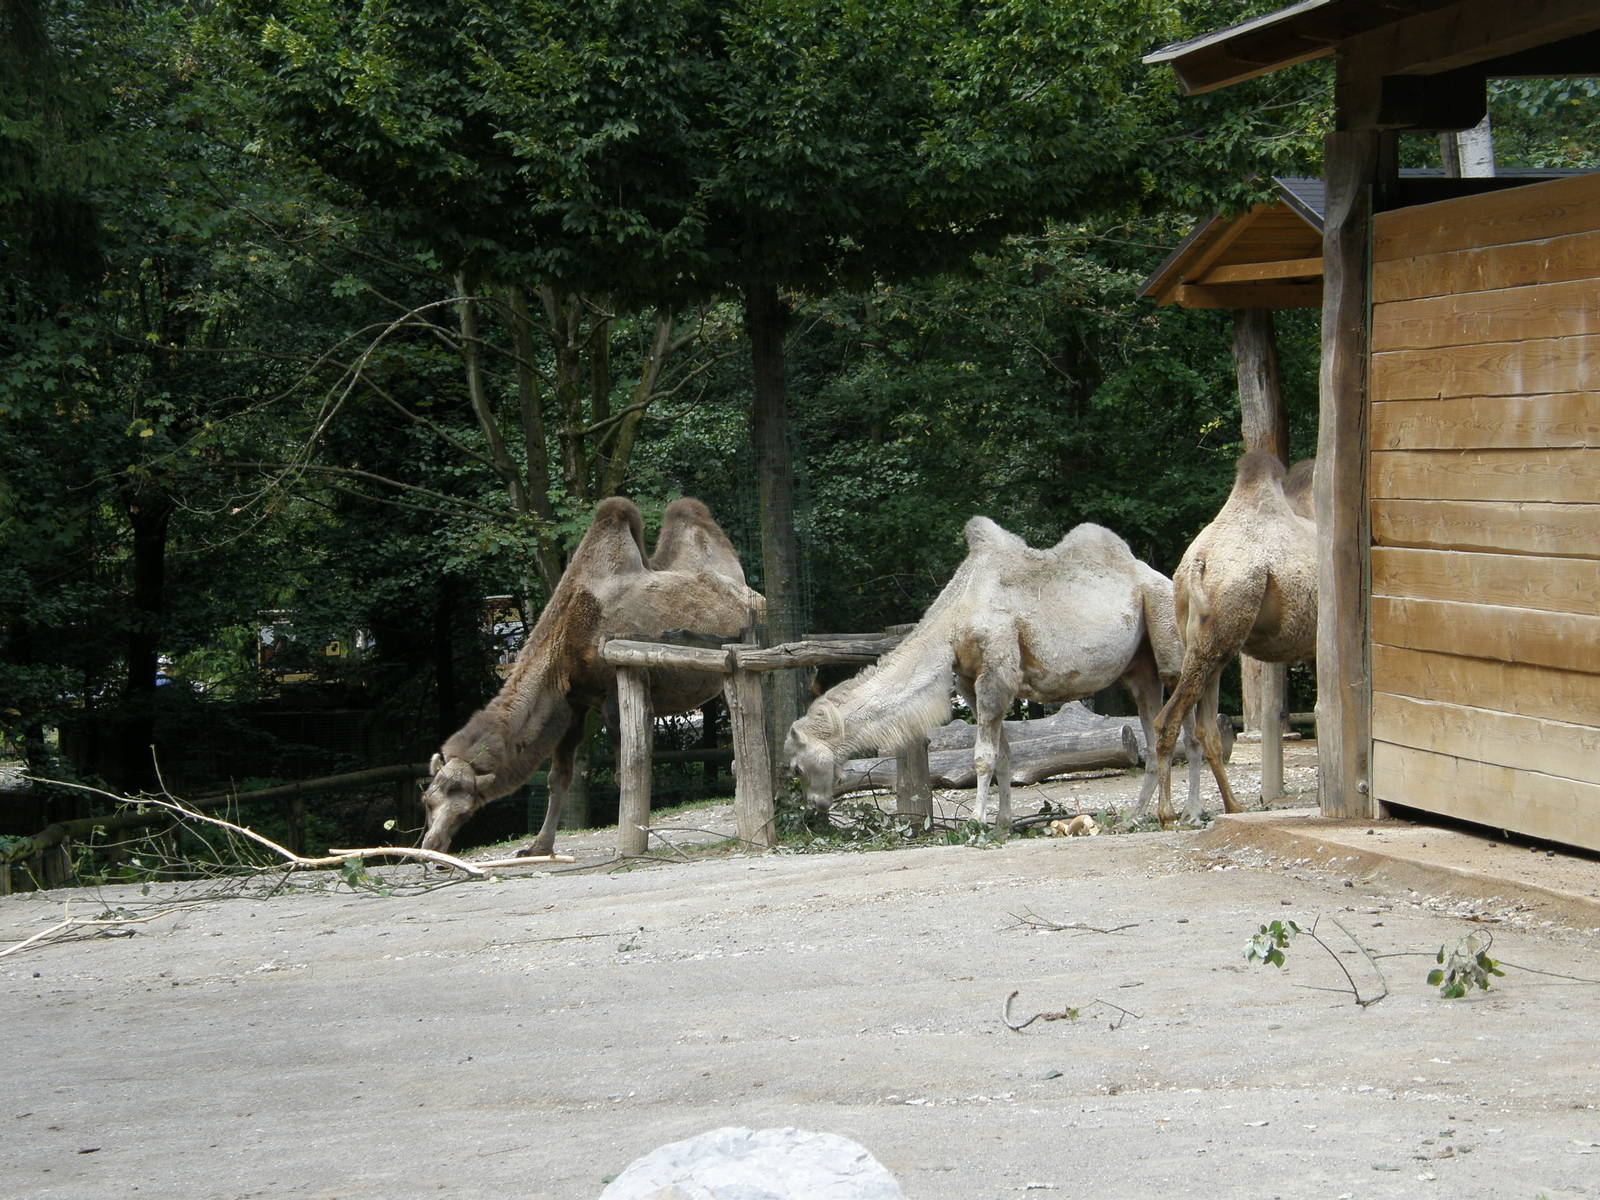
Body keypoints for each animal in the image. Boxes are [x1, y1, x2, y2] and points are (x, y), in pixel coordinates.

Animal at [420, 497, 762, 854]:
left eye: (464, 809)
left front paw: (632, 838)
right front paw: (538, 846)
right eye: (427, 802)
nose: (431, 844)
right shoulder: (572, 704)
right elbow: (558, 777)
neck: (568, 633)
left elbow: (625, 772)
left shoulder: (612, 694)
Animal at [784, 517, 1209, 832]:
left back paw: (1187, 814)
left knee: (1186, 726)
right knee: (1153, 731)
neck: (956, 616)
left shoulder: (996, 674)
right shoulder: (970, 682)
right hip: (1139, 669)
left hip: (1168, 634)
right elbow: (1004, 754)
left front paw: (976, 821)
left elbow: (983, 756)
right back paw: (1136, 816)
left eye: (797, 766)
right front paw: (1003, 821)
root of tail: (1163, 579)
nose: (812, 809)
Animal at [1146, 450, 1317, 827]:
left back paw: (1233, 807)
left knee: (1206, 727)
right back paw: (1168, 814)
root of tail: (1197, 564)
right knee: (1170, 719)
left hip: (1205, 643)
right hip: (1222, 630)